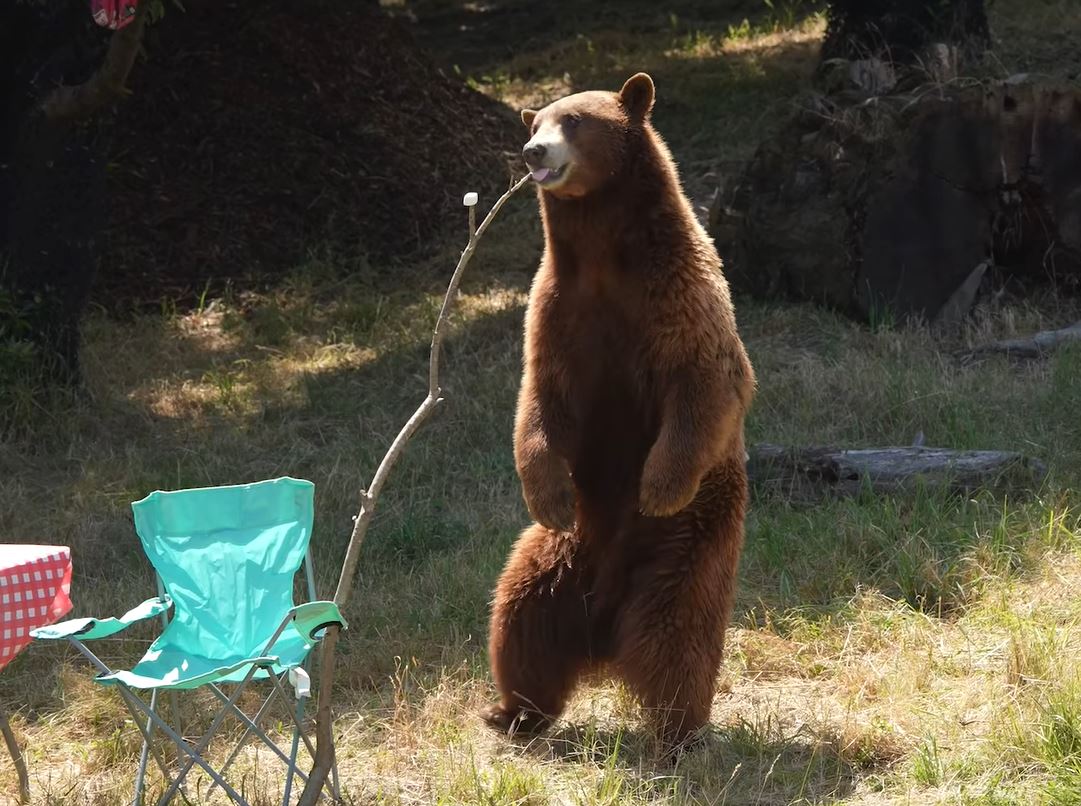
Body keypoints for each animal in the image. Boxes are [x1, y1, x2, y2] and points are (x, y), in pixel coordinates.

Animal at [481, 72, 756, 751]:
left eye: (576, 120)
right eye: (536, 123)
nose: (534, 153)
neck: (605, 256)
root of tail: (602, 632)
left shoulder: (678, 301)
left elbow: (706, 384)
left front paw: (657, 486)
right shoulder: (558, 310)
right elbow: (539, 404)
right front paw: (546, 494)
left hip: (689, 548)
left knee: (676, 638)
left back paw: (676, 734)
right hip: (554, 559)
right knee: (518, 623)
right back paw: (512, 712)